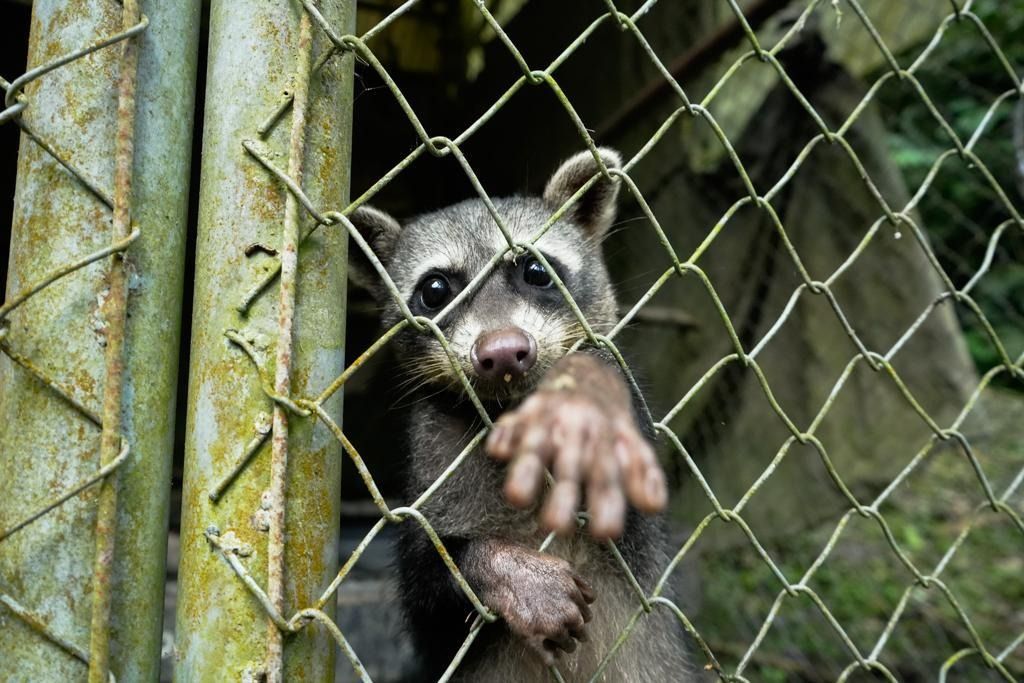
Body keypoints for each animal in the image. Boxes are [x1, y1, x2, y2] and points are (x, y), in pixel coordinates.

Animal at [350, 150, 688, 683]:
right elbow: (427, 585)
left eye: (535, 269)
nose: (504, 351)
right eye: (435, 289)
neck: (507, 413)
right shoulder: (426, 474)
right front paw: (505, 568)